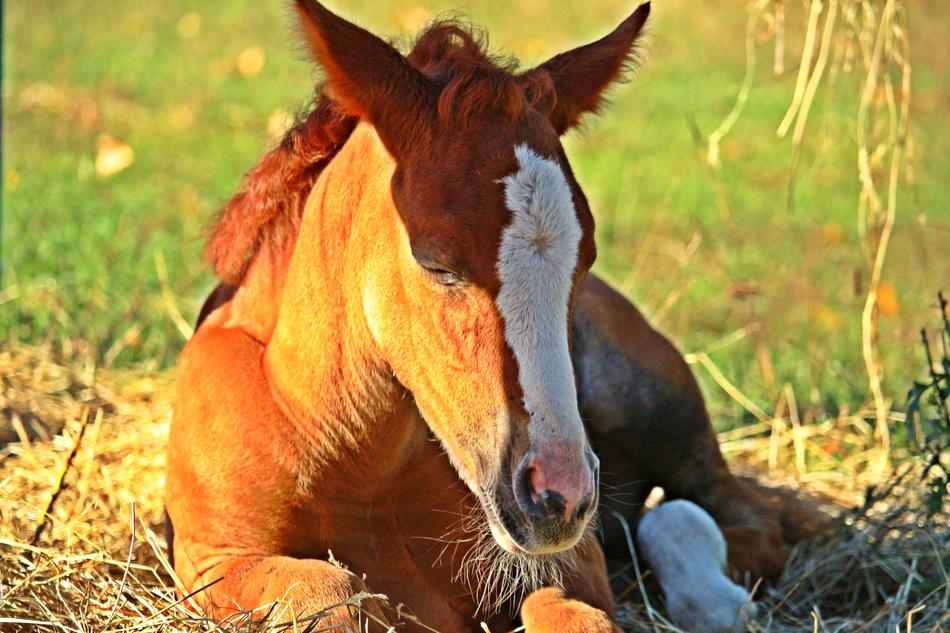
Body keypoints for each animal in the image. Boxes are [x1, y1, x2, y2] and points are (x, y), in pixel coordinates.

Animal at [165, 2, 825, 631]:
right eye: (435, 262)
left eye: (586, 257)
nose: (559, 497)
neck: (348, 451)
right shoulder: (216, 562)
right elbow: (332, 594)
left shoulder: (569, 566)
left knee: (730, 519)